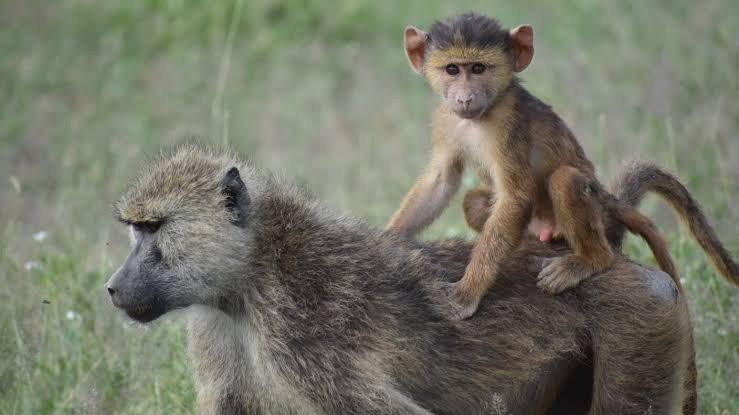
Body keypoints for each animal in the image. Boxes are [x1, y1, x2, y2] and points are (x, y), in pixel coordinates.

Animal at [106, 146, 700, 414]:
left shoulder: (303, 335)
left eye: (154, 228)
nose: (113, 287)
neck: (251, 277)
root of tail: (609, 257)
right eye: (135, 228)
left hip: (639, 327)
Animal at [384, 13, 685, 319]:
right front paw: (388, 241)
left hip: (596, 216)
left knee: (565, 181)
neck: (483, 114)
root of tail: (609, 203)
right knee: (475, 202)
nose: (465, 98)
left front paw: (465, 294)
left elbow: (515, 197)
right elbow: (441, 179)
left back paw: (590, 260)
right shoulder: (446, 119)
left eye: (478, 68)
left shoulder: (507, 126)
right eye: (452, 69)